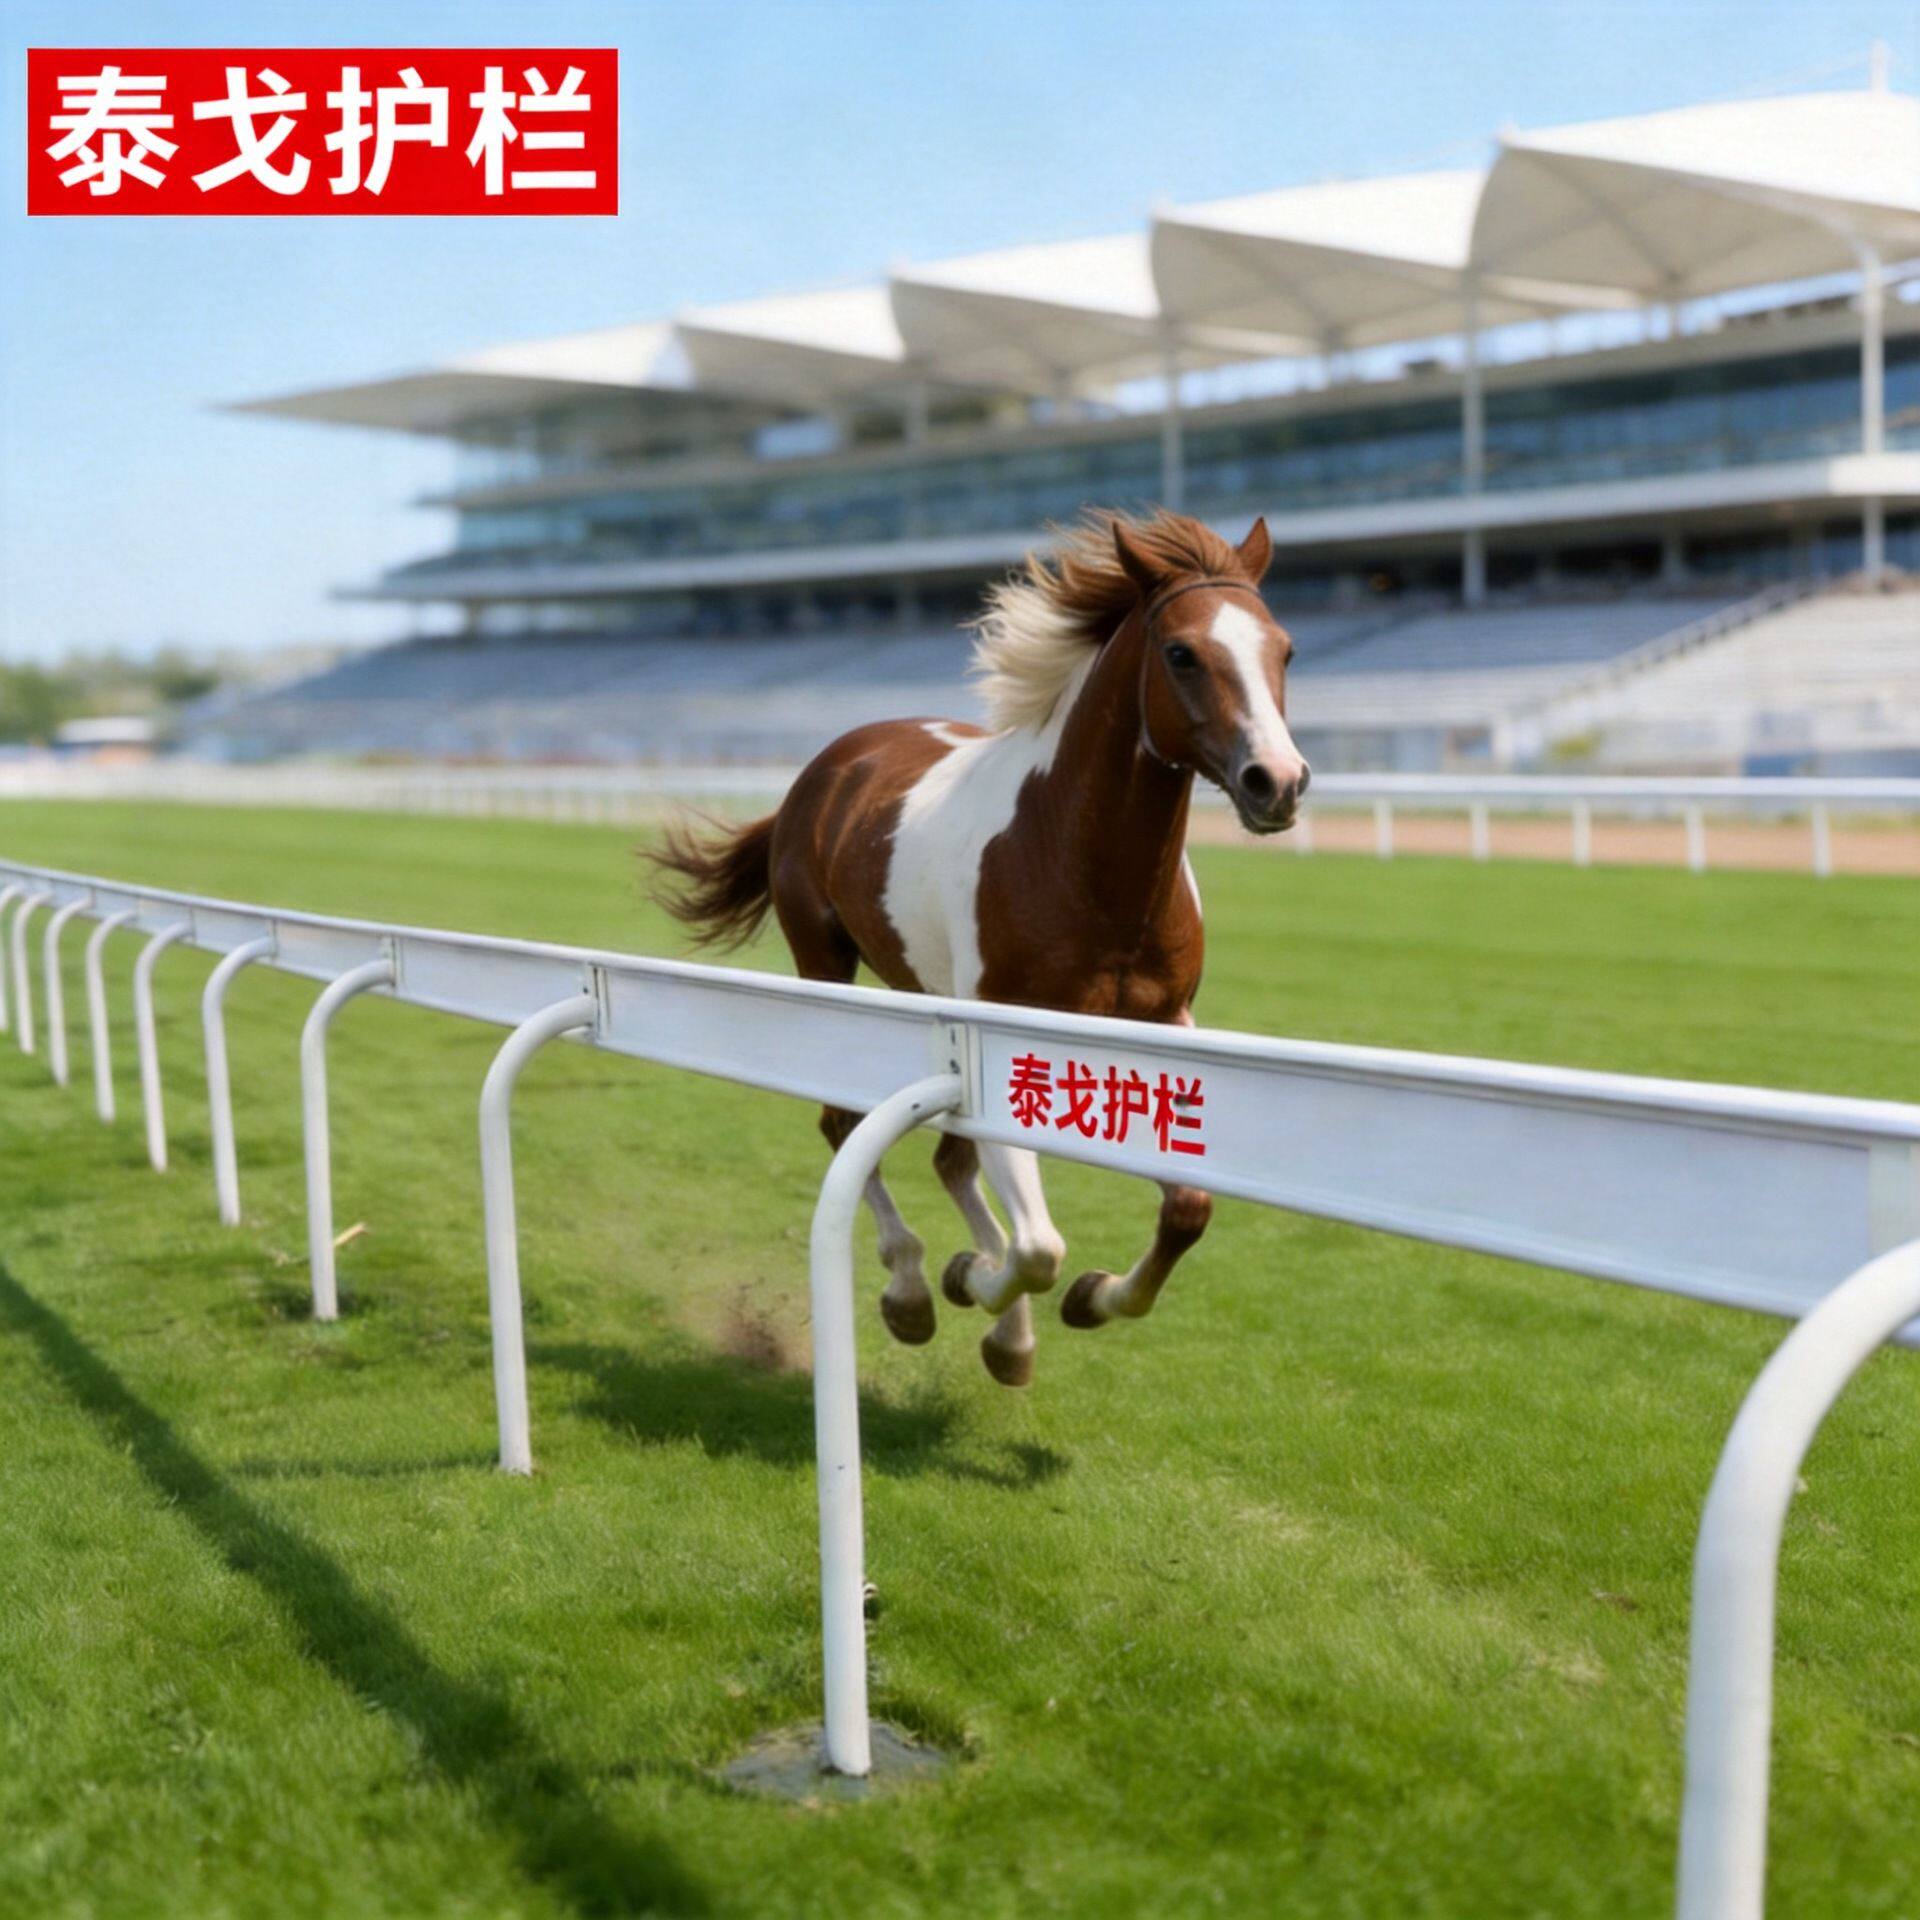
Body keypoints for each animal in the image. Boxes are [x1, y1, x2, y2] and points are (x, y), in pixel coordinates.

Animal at [647, 508, 1308, 1388]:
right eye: (1181, 653)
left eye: (1285, 649)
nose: (1279, 782)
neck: (1079, 866)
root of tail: (830, 765)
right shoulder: (1002, 1029)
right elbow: (1037, 1247)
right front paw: (974, 1285)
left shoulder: (1164, 1023)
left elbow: (1186, 1210)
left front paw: (1086, 1299)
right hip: (827, 964)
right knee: (844, 1123)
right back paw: (913, 1290)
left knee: (948, 1160)